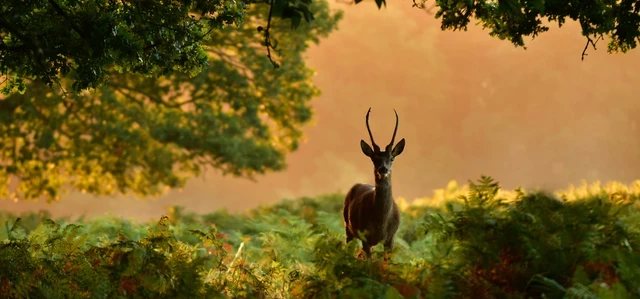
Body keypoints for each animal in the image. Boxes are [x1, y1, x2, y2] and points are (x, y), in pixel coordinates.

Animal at [340, 108, 404, 260]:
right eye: (374, 159)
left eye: (391, 158)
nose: (383, 169)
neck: (380, 224)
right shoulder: (365, 236)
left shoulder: (391, 238)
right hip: (348, 227)